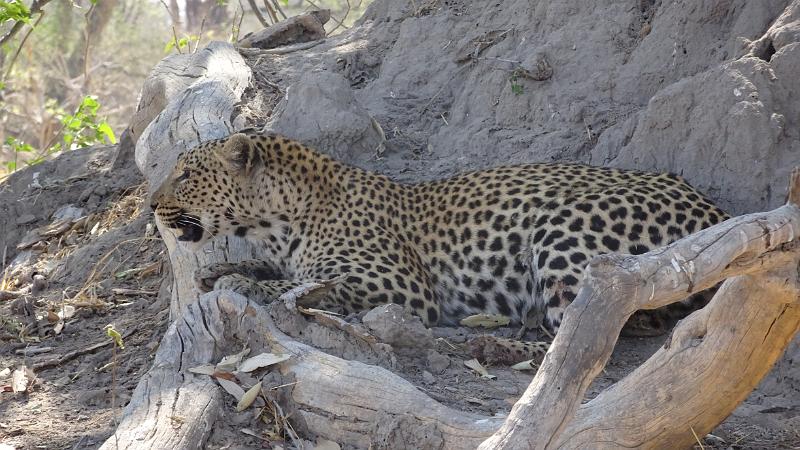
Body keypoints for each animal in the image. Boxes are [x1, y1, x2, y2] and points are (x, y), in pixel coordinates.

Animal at [152, 130, 732, 362]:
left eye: (185, 175)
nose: (152, 206)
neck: (279, 219)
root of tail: (716, 210)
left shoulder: (400, 285)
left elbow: (306, 281)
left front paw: (235, 277)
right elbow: (281, 271)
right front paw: (225, 269)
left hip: (563, 225)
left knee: (579, 337)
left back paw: (495, 347)